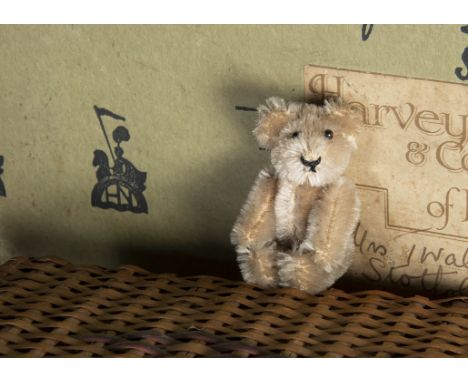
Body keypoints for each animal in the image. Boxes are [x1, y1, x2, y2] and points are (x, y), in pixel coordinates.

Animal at [231, 97, 362, 294]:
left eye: (329, 134)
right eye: (294, 135)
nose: (311, 161)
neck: (304, 184)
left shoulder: (339, 187)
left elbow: (332, 216)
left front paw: (323, 254)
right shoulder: (271, 178)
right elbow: (259, 207)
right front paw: (246, 236)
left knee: (308, 269)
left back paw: (297, 270)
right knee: (257, 254)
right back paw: (264, 271)